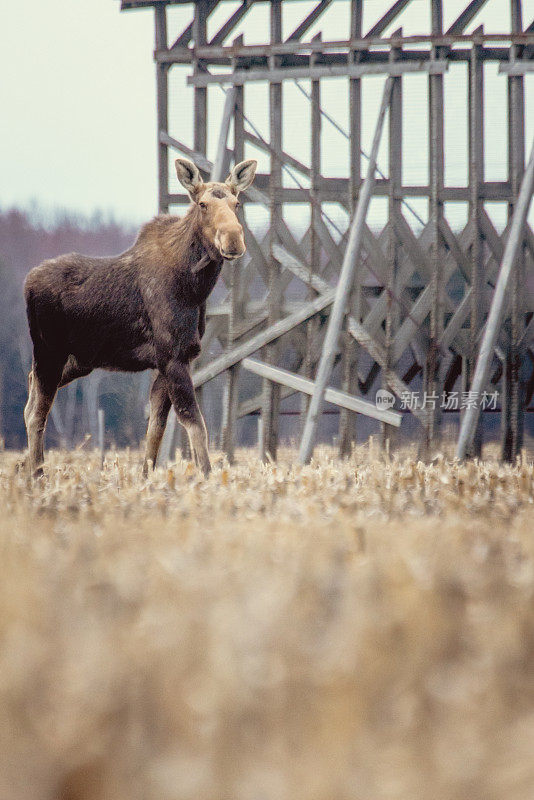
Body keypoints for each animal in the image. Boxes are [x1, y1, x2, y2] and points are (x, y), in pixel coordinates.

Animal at [24, 159, 258, 478]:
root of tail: (27, 283)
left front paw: (147, 478)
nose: (233, 239)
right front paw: (208, 476)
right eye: (202, 204)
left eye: (237, 203)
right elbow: (194, 422)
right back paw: (37, 475)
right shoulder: (173, 357)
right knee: (38, 413)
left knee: (29, 397)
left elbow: (156, 429)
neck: (195, 287)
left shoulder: (171, 361)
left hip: (75, 361)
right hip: (50, 352)